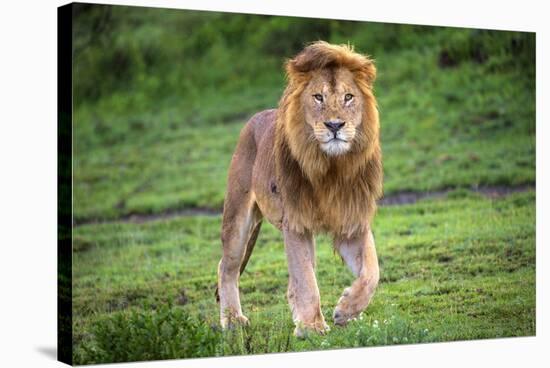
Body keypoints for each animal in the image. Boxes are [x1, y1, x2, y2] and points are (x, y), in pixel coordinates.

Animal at [217, 40, 384, 336]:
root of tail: (257, 116)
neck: (331, 168)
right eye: (318, 97)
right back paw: (233, 320)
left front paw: (345, 310)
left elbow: (372, 272)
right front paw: (311, 327)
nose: (334, 125)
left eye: (348, 97)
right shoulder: (295, 222)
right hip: (237, 216)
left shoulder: (352, 222)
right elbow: (306, 279)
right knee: (227, 266)